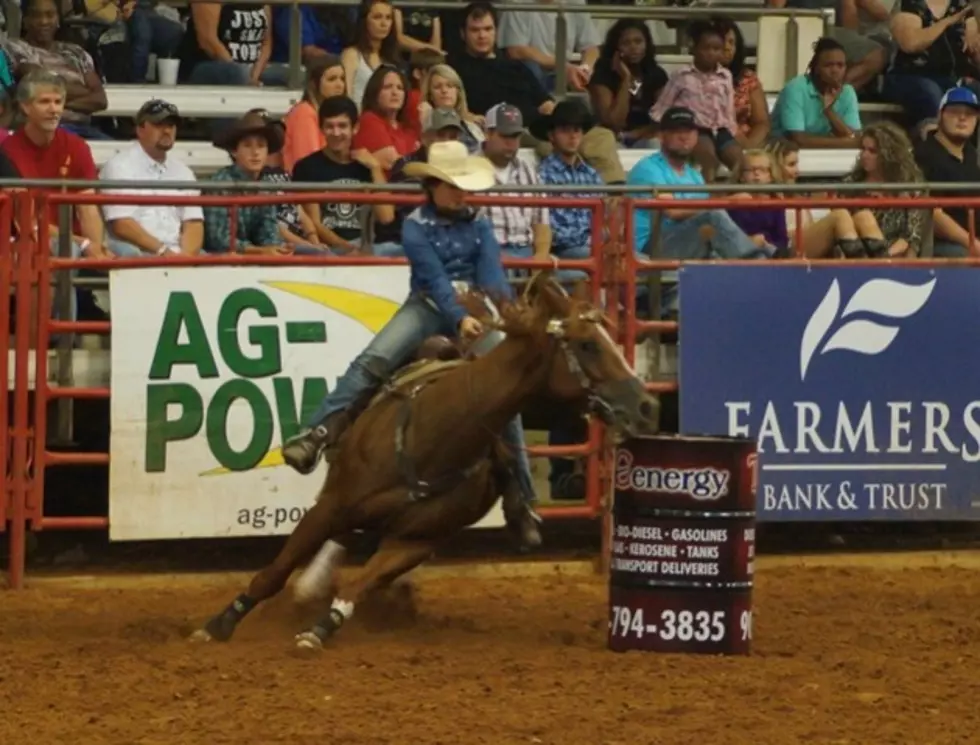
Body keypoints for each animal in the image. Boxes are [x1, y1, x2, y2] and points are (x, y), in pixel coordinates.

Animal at [190, 274, 660, 652]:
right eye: (587, 344)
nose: (648, 406)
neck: (434, 437)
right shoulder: (331, 505)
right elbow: (273, 572)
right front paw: (218, 625)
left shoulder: (415, 541)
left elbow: (359, 584)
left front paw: (320, 629)